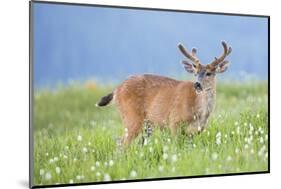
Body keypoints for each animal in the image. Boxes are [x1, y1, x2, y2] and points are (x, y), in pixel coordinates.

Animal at [95, 41, 231, 145]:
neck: (199, 112)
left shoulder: (197, 130)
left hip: (147, 125)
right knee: (122, 143)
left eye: (209, 73)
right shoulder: (174, 121)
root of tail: (116, 90)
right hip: (131, 116)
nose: (197, 84)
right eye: (195, 73)